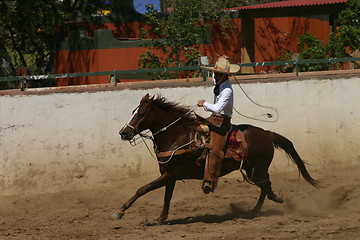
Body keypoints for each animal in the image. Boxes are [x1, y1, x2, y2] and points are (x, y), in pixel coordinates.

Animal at [114, 93, 318, 221]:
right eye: (133, 112)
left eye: (141, 113)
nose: (123, 133)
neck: (176, 137)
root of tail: (267, 133)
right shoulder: (169, 175)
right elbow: (167, 196)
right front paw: (162, 217)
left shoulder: (171, 174)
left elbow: (143, 189)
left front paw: (120, 211)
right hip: (252, 169)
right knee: (265, 185)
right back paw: (255, 210)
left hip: (257, 170)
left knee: (266, 185)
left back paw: (272, 202)